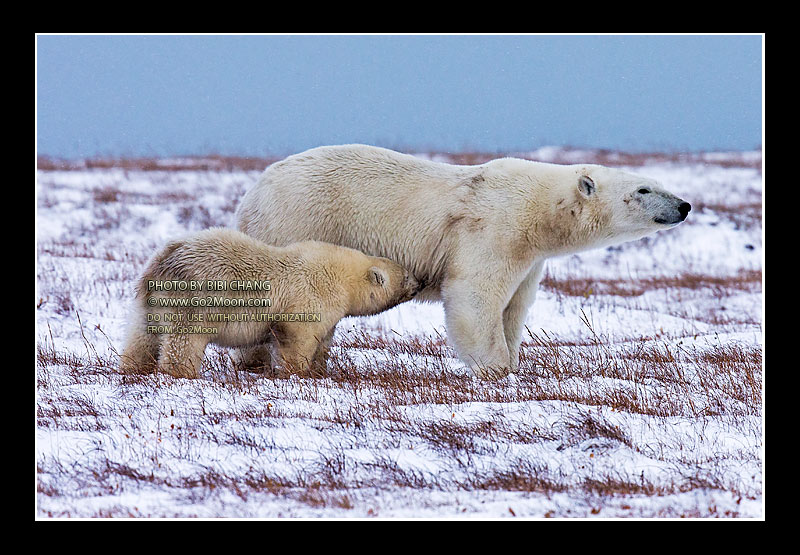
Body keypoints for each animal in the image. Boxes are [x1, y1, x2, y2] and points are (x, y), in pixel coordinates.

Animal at [119, 227, 420, 379]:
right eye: (406, 274)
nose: (420, 283)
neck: (342, 277)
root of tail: (165, 262)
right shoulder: (310, 295)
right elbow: (296, 335)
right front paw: (296, 372)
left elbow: (323, 338)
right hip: (196, 299)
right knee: (185, 339)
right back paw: (181, 373)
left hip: (149, 300)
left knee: (142, 334)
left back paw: (134, 366)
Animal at [235, 144, 691, 379]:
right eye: (644, 189)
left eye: (661, 183)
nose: (684, 205)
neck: (542, 210)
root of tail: (253, 191)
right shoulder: (496, 228)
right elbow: (476, 298)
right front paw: (498, 371)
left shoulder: (531, 257)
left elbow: (514, 308)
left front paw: (513, 361)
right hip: (296, 221)